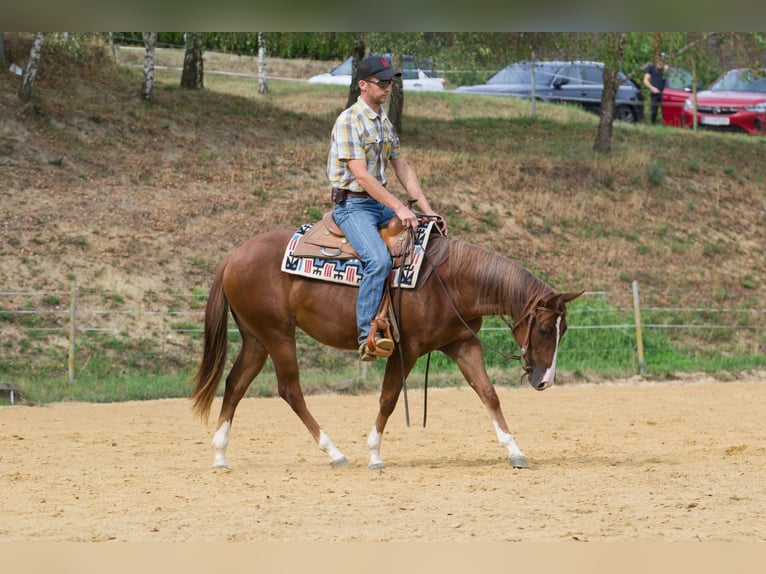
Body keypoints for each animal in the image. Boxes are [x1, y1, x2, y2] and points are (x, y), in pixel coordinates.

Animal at [192, 226, 584, 472]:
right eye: (545, 329)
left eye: (563, 330)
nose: (545, 381)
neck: (450, 281)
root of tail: (233, 256)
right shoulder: (405, 349)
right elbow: (388, 399)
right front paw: (375, 454)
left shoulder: (462, 344)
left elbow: (488, 393)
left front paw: (515, 450)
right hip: (278, 335)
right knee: (290, 390)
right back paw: (334, 453)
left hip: (257, 338)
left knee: (235, 385)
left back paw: (220, 456)